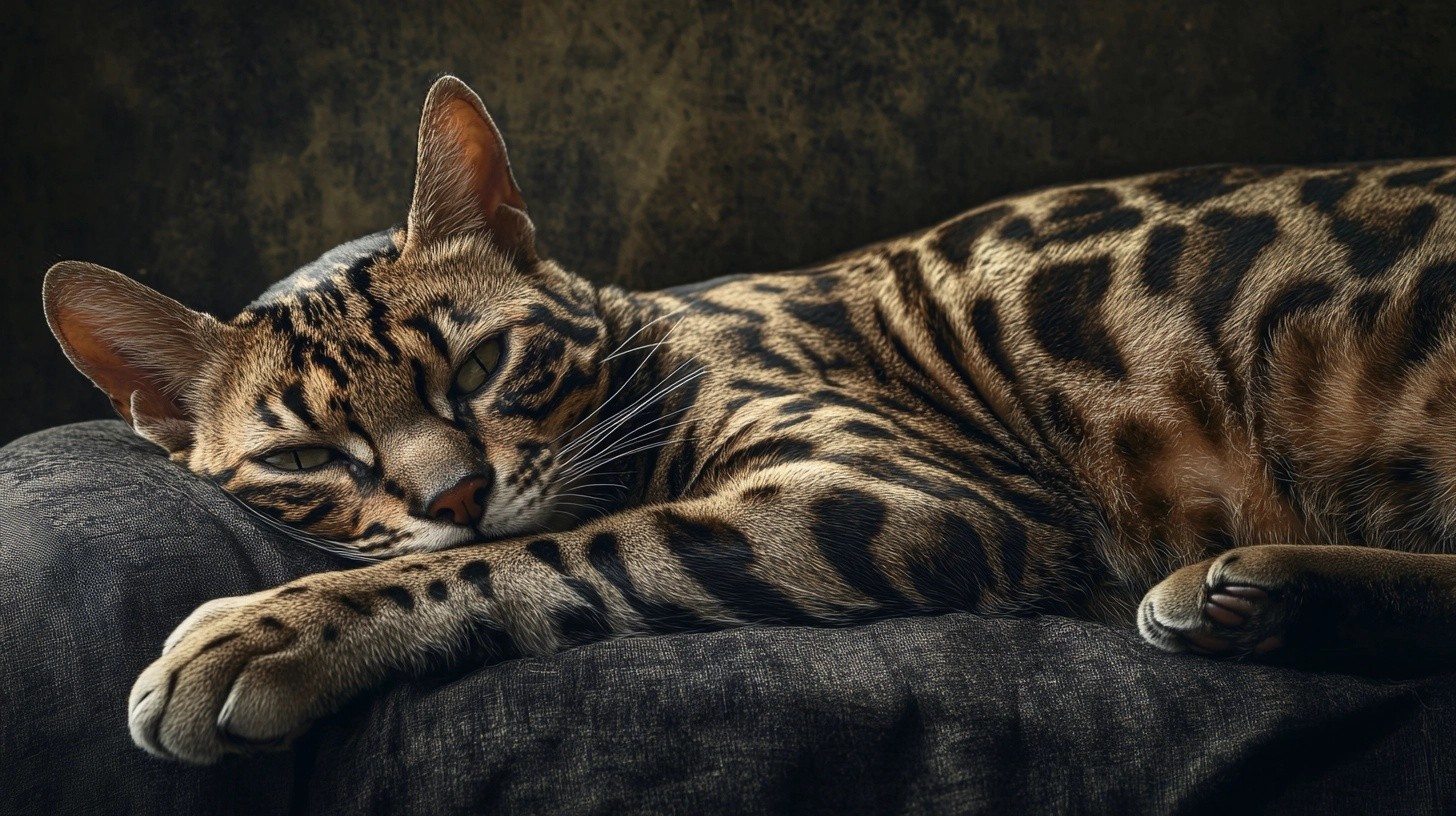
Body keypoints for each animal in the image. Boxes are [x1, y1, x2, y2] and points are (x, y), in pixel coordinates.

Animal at [39, 75, 1456, 763]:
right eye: (302, 456)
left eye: (485, 362)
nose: (452, 495)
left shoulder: (898, 491)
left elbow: (553, 551)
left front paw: (271, 630)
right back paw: (1254, 595)